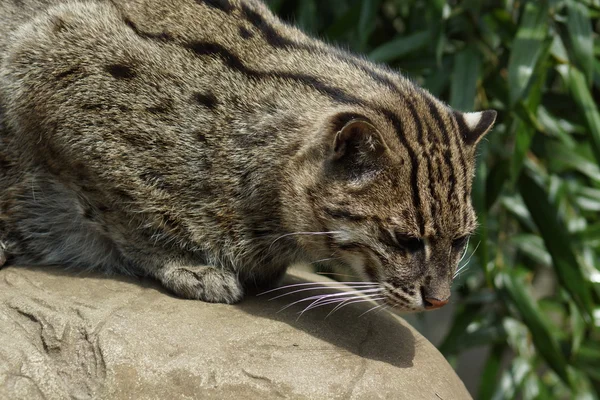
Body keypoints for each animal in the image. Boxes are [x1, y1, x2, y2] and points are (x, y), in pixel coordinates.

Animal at [0, 0, 496, 310]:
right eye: (403, 240)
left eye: (460, 241)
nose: (440, 300)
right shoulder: (42, 63)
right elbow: (121, 206)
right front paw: (185, 265)